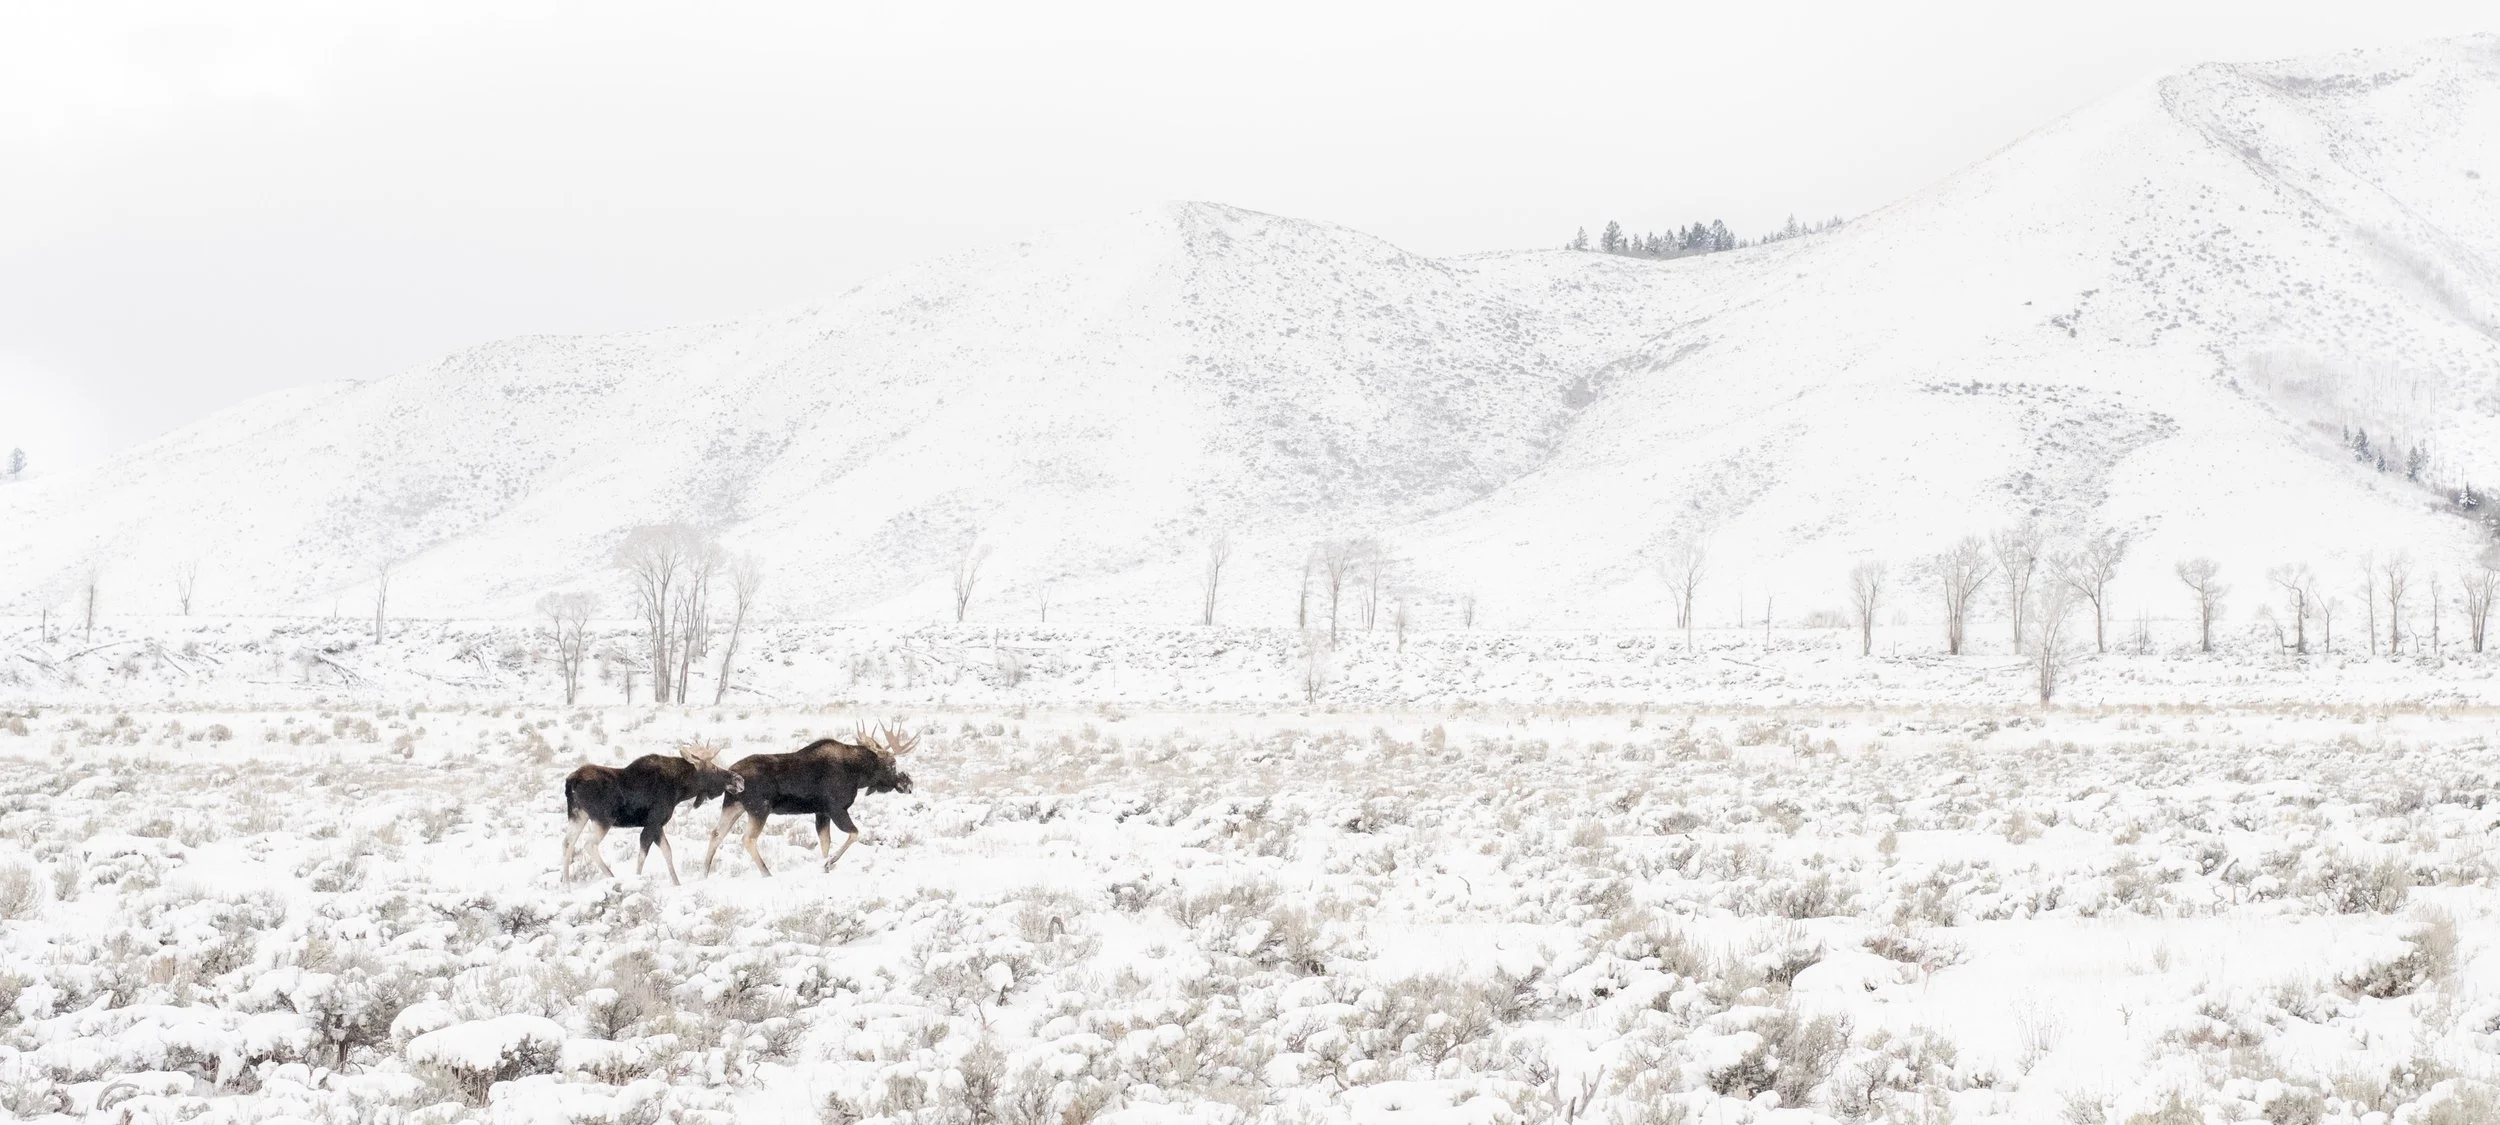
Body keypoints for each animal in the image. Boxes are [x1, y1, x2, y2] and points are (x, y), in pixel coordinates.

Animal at [561, 741, 744, 886]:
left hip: (578, 815)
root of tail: (571, 781)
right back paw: (611, 876)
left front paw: (677, 883)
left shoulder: (657, 826)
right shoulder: (653, 823)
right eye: (713, 767)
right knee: (588, 844)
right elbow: (643, 854)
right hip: (603, 818)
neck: (680, 789)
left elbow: (667, 852)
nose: (738, 779)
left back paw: (566, 886)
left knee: (567, 843)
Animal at [704, 722, 916, 877]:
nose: (909, 783)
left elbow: (825, 842)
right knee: (747, 839)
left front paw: (825, 865)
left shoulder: (821, 812)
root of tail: (731, 773)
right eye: (892, 764)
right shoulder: (836, 808)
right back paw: (767, 873)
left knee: (716, 833)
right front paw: (828, 863)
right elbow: (854, 833)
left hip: (734, 805)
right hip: (759, 809)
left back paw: (704, 874)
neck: (858, 775)